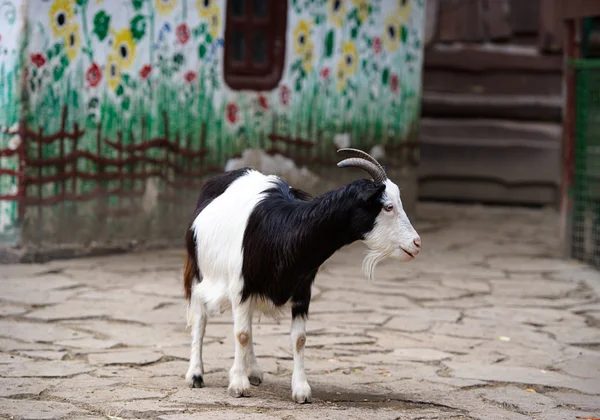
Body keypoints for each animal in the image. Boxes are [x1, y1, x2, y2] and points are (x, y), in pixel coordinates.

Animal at [183, 148, 422, 404]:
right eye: (388, 206)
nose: (416, 243)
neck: (282, 232)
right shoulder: (241, 286)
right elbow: (241, 334)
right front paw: (238, 384)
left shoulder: (302, 290)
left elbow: (298, 339)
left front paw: (301, 390)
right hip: (198, 271)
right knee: (200, 319)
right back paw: (195, 374)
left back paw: (254, 371)